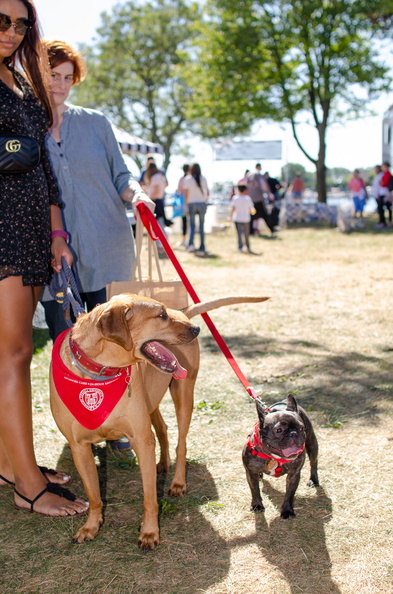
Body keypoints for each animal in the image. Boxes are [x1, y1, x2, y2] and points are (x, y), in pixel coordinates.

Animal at [49, 292, 266, 544]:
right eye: (161, 315)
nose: (196, 329)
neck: (97, 375)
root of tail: (182, 311)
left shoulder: (142, 441)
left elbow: (150, 498)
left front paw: (150, 532)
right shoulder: (79, 448)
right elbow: (94, 495)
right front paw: (90, 526)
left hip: (183, 395)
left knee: (181, 443)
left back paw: (178, 482)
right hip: (151, 401)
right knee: (162, 428)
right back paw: (163, 463)